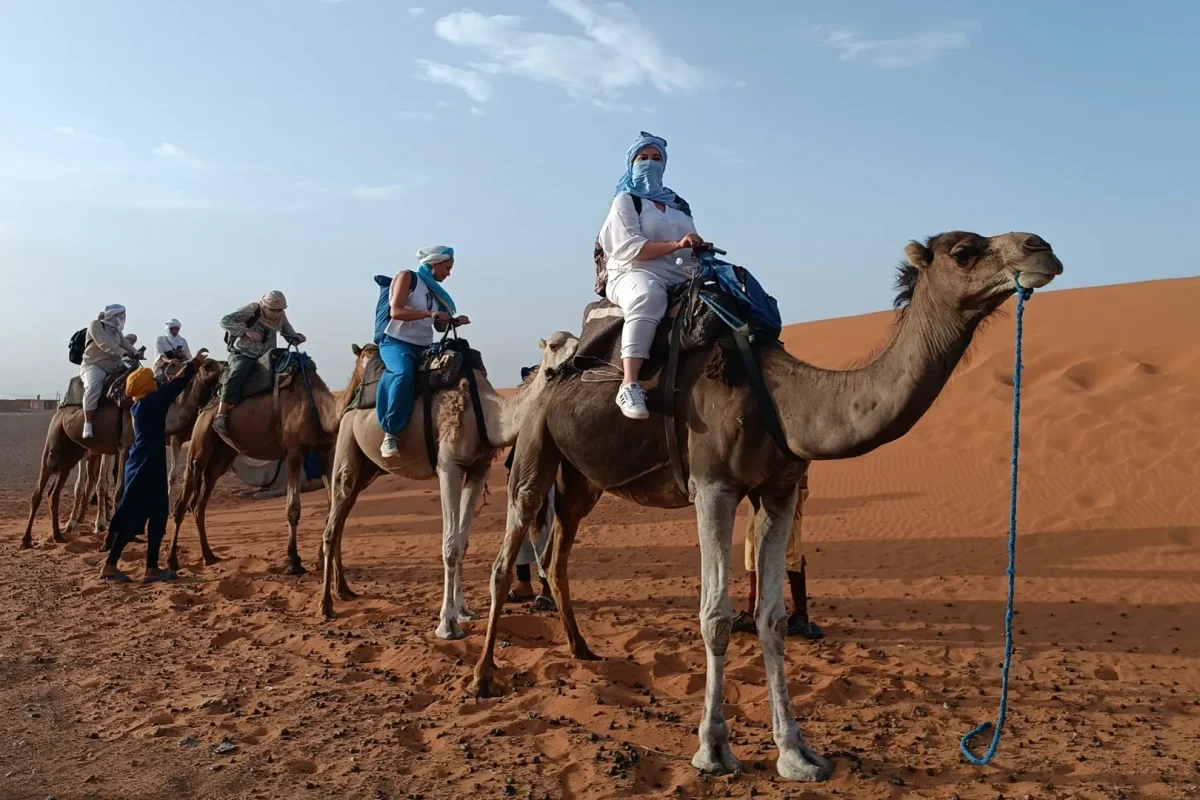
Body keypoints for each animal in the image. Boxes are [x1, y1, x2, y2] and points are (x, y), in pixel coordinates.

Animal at [22, 359, 224, 549]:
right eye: (208, 365)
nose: (225, 366)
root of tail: (62, 408)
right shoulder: (125, 447)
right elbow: (120, 490)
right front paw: (108, 541)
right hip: (54, 443)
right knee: (39, 491)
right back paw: (28, 539)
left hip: (73, 452)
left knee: (54, 493)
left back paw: (58, 535)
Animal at [166, 351, 339, 575]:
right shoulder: (294, 450)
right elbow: (293, 509)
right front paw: (293, 562)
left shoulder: (324, 450)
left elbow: (331, 506)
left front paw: (321, 560)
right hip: (200, 441)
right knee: (184, 498)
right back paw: (172, 561)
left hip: (222, 456)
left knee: (198, 504)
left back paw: (209, 556)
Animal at [318, 331, 579, 640]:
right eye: (555, 345)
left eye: (577, 338)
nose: (580, 355)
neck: (489, 414)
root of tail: (351, 401)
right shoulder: (449, 467)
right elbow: (450, 546)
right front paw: (447, 625)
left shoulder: (477, 470)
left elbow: (463, 544)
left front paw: (463, 612)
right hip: (347, 443)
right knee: (332, 524)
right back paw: (326, 605)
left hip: (367, 470)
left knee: (340, 520)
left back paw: (344, 591)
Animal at [474, 232, 1063, 783]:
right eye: (964, 251)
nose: (1043, 249)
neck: (782, 400)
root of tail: (551, 372)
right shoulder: (713, 486)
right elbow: (715, 617)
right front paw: (713, 750)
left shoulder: (780, 490)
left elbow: (773, 618)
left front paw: (796, 753)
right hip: (535, 445)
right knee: (507, 556)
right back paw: (483, 676)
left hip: (583, 481)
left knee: (557, 554)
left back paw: (581, 649)